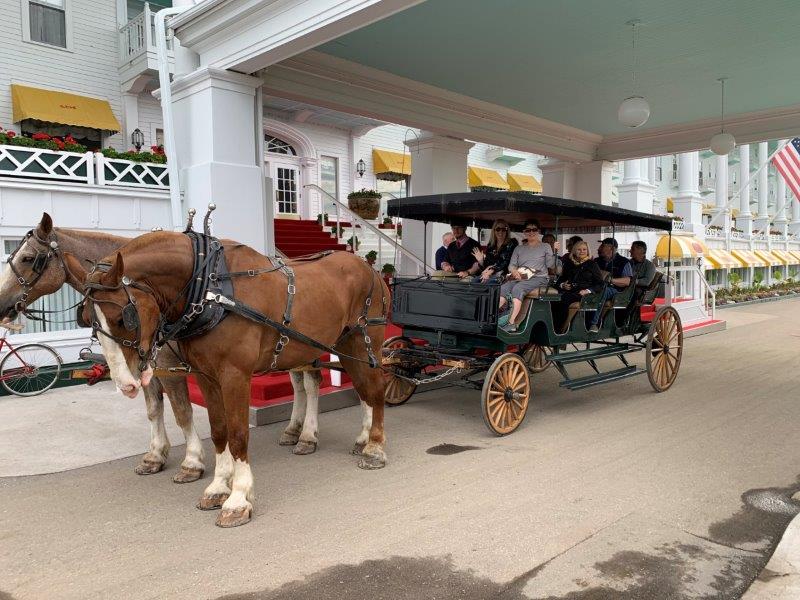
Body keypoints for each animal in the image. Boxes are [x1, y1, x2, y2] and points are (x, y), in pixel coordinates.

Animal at [65, 232, 388, 528]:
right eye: (87, 320)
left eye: (123, 318)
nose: (126, 384)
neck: (210, 291)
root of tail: (371, 268)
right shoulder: (206, 376)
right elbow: (219, 431)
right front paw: (218, 487)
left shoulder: (235, 375)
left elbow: (238, 435)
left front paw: (238, 498)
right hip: (341, 346)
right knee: (363, 390)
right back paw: (361, 439)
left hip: (364, 342)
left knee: (376, 389)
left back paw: (374, 448)